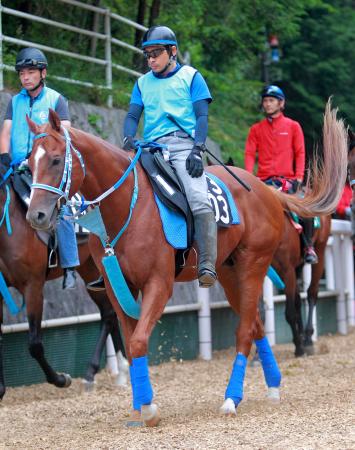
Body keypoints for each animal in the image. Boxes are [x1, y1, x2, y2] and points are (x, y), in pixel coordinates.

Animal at [0, 178, 128, 400]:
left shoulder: (33, 286)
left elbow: (35, 345)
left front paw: (61, 379)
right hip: (91, 270)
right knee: (110, 312)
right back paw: (120, 372)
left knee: (110, 314)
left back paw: (91, 374)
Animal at [26, 102, 350, 426]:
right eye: (28, 164)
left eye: (56, 160)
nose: (36, 215)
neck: (127, 205)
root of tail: (266, 189)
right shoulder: (118, 288)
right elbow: (131, 344)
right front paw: (137, 408)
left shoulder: (159, 284)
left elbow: (139, 341)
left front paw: (149, 408)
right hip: (229, 273)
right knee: (256, 325)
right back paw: (272, 386)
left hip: (255, 264)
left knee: (248, 329)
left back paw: (232, 398)